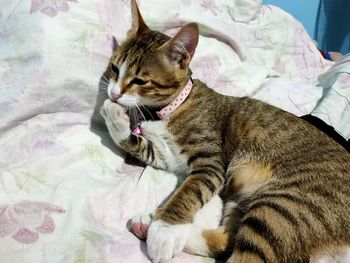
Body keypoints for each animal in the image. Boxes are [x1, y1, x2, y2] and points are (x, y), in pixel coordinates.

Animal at [100, 1, 350, 262]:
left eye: (140, 81)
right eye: (114, 68)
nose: (114, 93)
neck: (171, 107)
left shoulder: (210, 162)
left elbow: (189, 191)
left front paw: (165, 230)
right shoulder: (165, 156)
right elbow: (139, 144)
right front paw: (114, 116)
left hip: (285, 206)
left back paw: (157, 227)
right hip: (243, 202)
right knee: (228, 241)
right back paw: (149, 225)